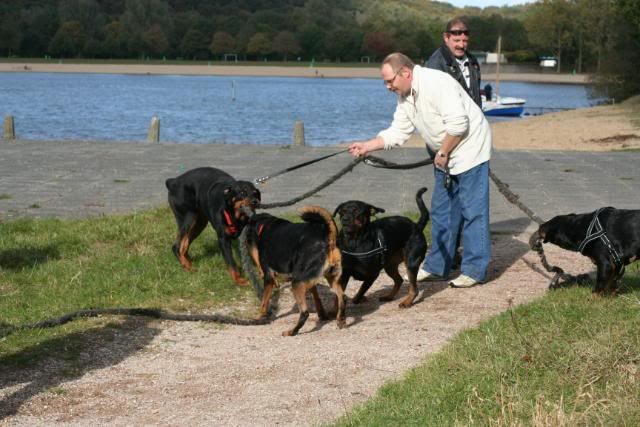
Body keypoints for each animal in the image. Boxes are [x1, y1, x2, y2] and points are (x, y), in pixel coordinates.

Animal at [245, 207, 344, 338]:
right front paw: (322, 314)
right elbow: (316, 297)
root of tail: (327, 239)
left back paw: (292, 331)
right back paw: (341, 320)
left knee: (304, 313)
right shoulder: (309, 280)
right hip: (330, 279)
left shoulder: (269, 276)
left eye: (247, 234)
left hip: (296, 282)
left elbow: (263, 303)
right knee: (342, 298)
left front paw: (257, 319)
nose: (244, 242)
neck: (265, 225)